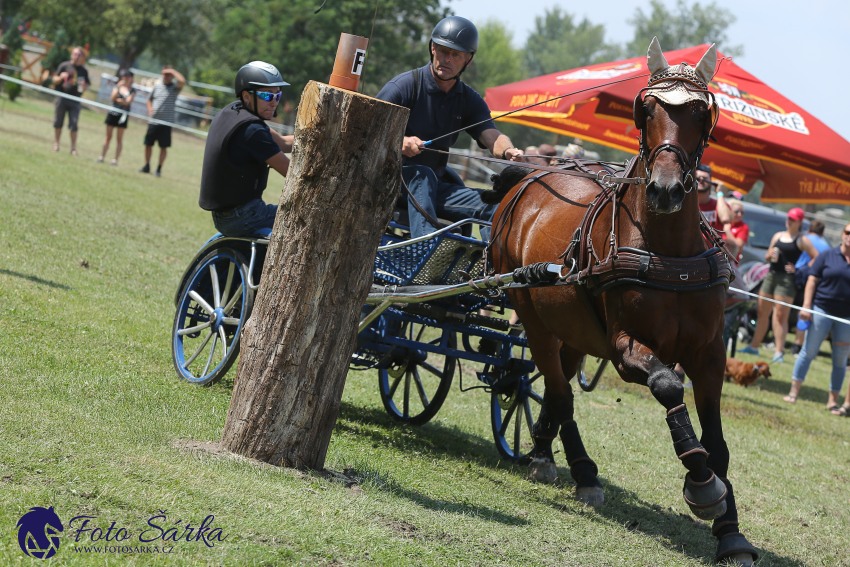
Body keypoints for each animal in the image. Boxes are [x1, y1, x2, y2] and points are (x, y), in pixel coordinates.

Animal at [486, 37, 760, 564]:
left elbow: (719, 443)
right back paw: (582, 471)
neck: (668, 251)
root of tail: (528, 180)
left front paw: (731, 533)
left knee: (558, 382)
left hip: (573, 327)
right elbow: (669, 387)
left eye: (702, 112)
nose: (666, 190)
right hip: (532, 315)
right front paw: (701, 483)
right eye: (645, 109)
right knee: (559, 390)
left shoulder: (711, 352)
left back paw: (543, 450)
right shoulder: (624, 348)